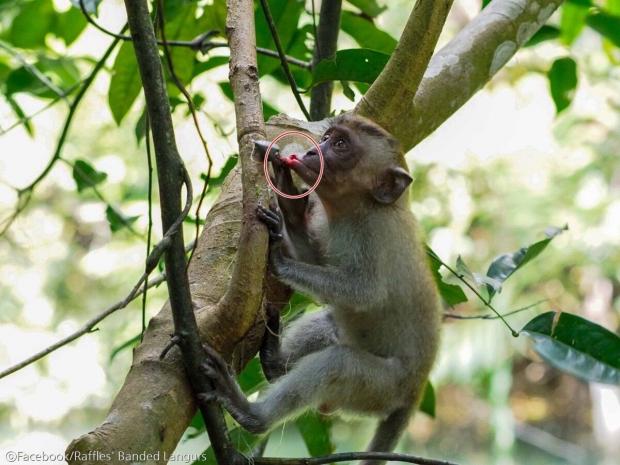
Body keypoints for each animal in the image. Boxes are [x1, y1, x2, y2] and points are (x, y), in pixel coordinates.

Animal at [200, 113, 440, 464]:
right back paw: (276, 361)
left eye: (340, 144)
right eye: (327, 137)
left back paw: (252, 414)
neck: (360, 208)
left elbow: (363, 292)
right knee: (330, 322)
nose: (314, 152)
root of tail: (414, 391)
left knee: (339, 363)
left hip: (381, 388)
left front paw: (279, 259)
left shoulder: (376, 235)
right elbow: (317, 259)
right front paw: (288, 198)